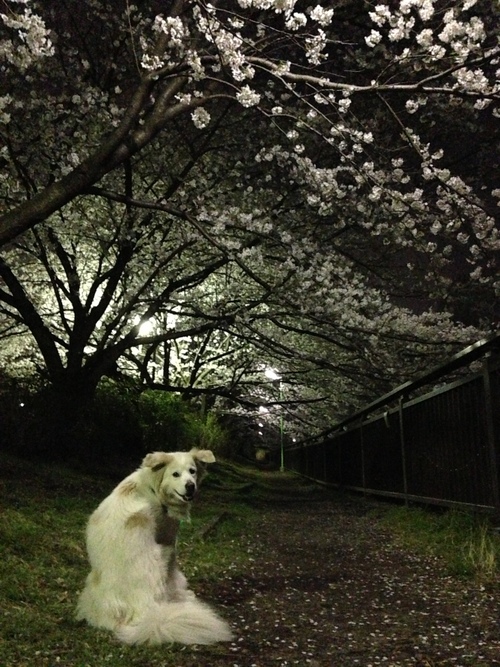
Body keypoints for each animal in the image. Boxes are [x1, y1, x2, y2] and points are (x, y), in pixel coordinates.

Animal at [75, 448, 232, 648]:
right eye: (175, 474)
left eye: (193, 471)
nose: (190, 486)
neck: (151, 489)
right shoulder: (168, 539)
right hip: (162, 557)